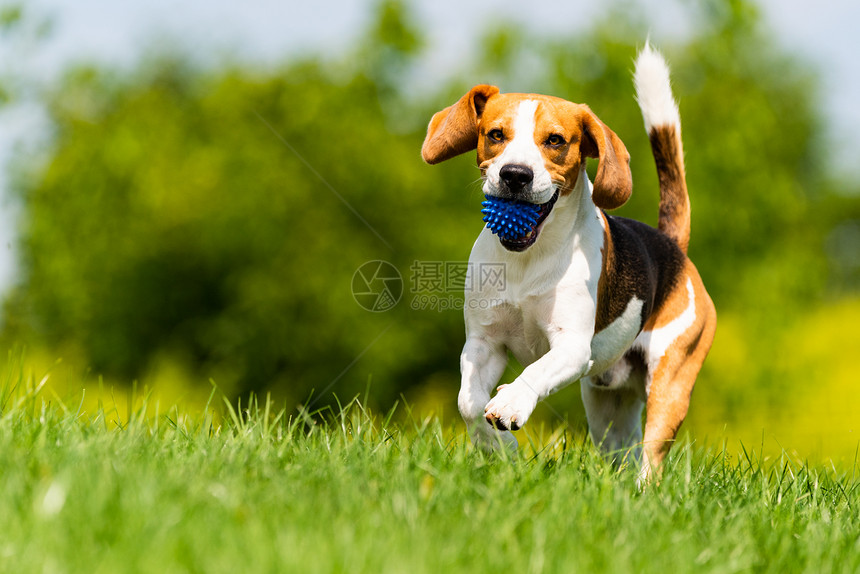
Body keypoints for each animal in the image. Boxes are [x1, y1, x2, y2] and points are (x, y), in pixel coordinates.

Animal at [420, 46, 716, 486]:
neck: (525, 259)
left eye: (555, 140)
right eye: (496, 134)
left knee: (651, 457)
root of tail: (672, 247)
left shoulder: (573, 348)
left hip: (671, 383)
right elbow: (468, 404)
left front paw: (510, 404)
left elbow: (534, 372)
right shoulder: (483, 343)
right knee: (624, 452)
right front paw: (502, 449)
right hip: (606, 403)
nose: (515, 175)